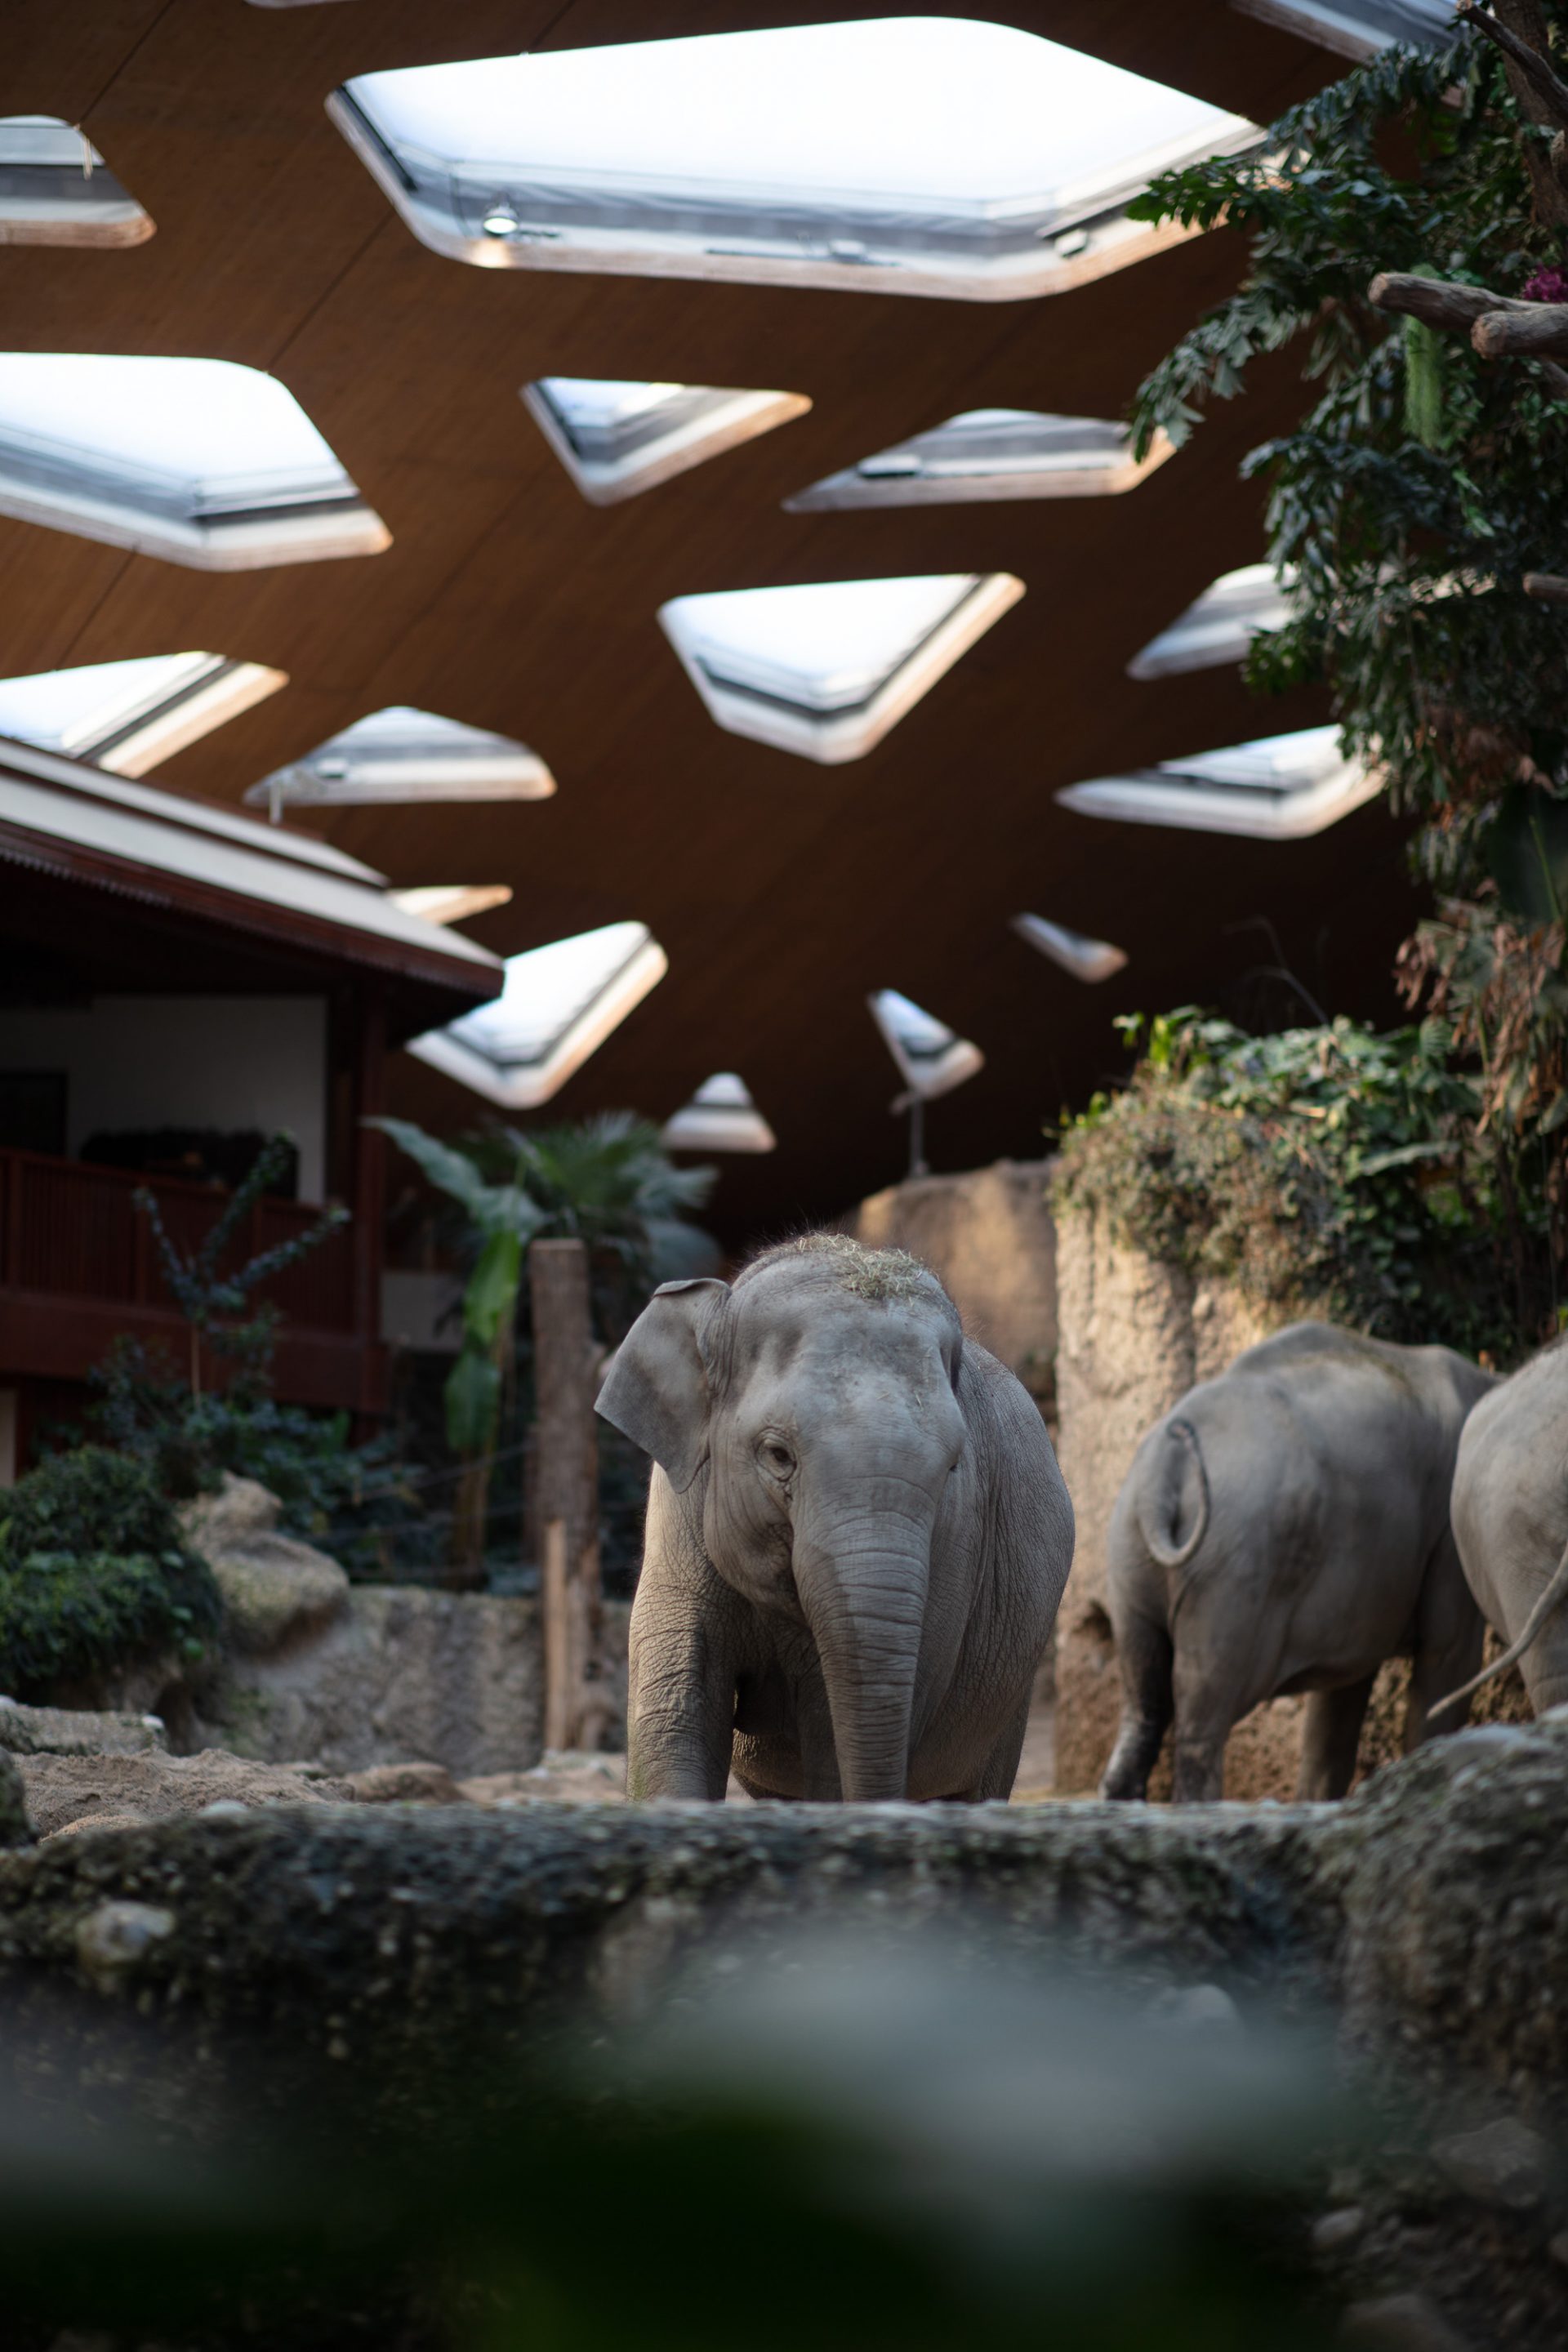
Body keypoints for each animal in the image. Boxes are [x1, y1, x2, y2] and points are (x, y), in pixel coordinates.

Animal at [595, 1231, 1074, 1803]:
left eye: (953, 1466)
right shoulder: (675, 1522)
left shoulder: (954, 1558)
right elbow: (673, 1723)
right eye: (778, 1455)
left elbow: (830, 1746)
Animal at [1099, 1322, 1493, 1804]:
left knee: (1144, 1708)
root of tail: (1163, 1465)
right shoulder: (1453, 1528)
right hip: (1233, 1571)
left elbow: (1342, 1694)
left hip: (1130, 1554)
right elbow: (1449, 1656)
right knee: (1204, 1715)